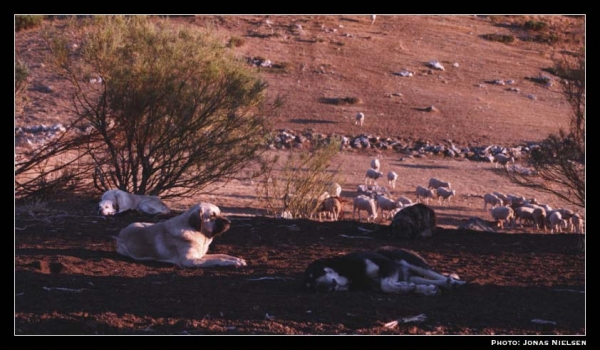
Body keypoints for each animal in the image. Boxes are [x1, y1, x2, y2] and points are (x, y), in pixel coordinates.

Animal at [113, 202, 245, 268]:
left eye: (220, 213)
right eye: (212, 216)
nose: (229, 222)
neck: (196, 232)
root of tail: (121, 233)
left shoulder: (200, 256)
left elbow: (221, 255)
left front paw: (237, 259)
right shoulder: (190, 260)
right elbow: (216, 260)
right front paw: (233, 263)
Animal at [302, 247, 466, 296]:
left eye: (315, 274)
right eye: (310, 287)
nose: (320, 288)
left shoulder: (388, 265)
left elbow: (385, 285)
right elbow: (387, 286)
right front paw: (408, 289)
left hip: (410, 261)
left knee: (436, 274)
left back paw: (456, 282)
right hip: (411, 275)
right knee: (426, 281)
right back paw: (434, 287)